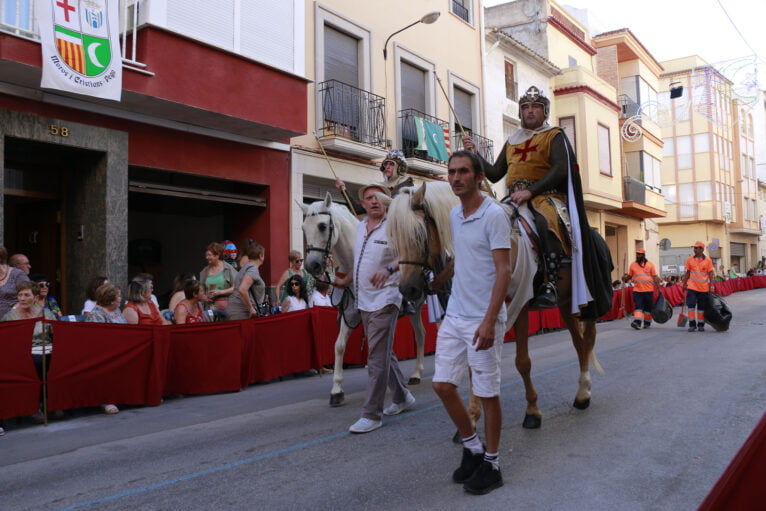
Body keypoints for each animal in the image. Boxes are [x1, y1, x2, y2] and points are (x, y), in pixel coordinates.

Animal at [298, 193, 428, 408]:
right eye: (303, 228)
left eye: (322, 226)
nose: (312, 265)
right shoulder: (350, 314)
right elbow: (340, 346)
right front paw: (337, 389)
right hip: (416, 309)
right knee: (420, 334)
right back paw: (417, 373)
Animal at [388, 182, 604, 430]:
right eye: (393, 237)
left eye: (418, 234)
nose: (408, 290)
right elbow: (474, 367)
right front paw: (472, 417)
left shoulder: (520, 306)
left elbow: (522, 362)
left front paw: (532, 411)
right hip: (566, 303)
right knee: (579, 344)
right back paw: (582, 392)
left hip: (586, 302)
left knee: (587, 341)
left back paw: (583, 393)